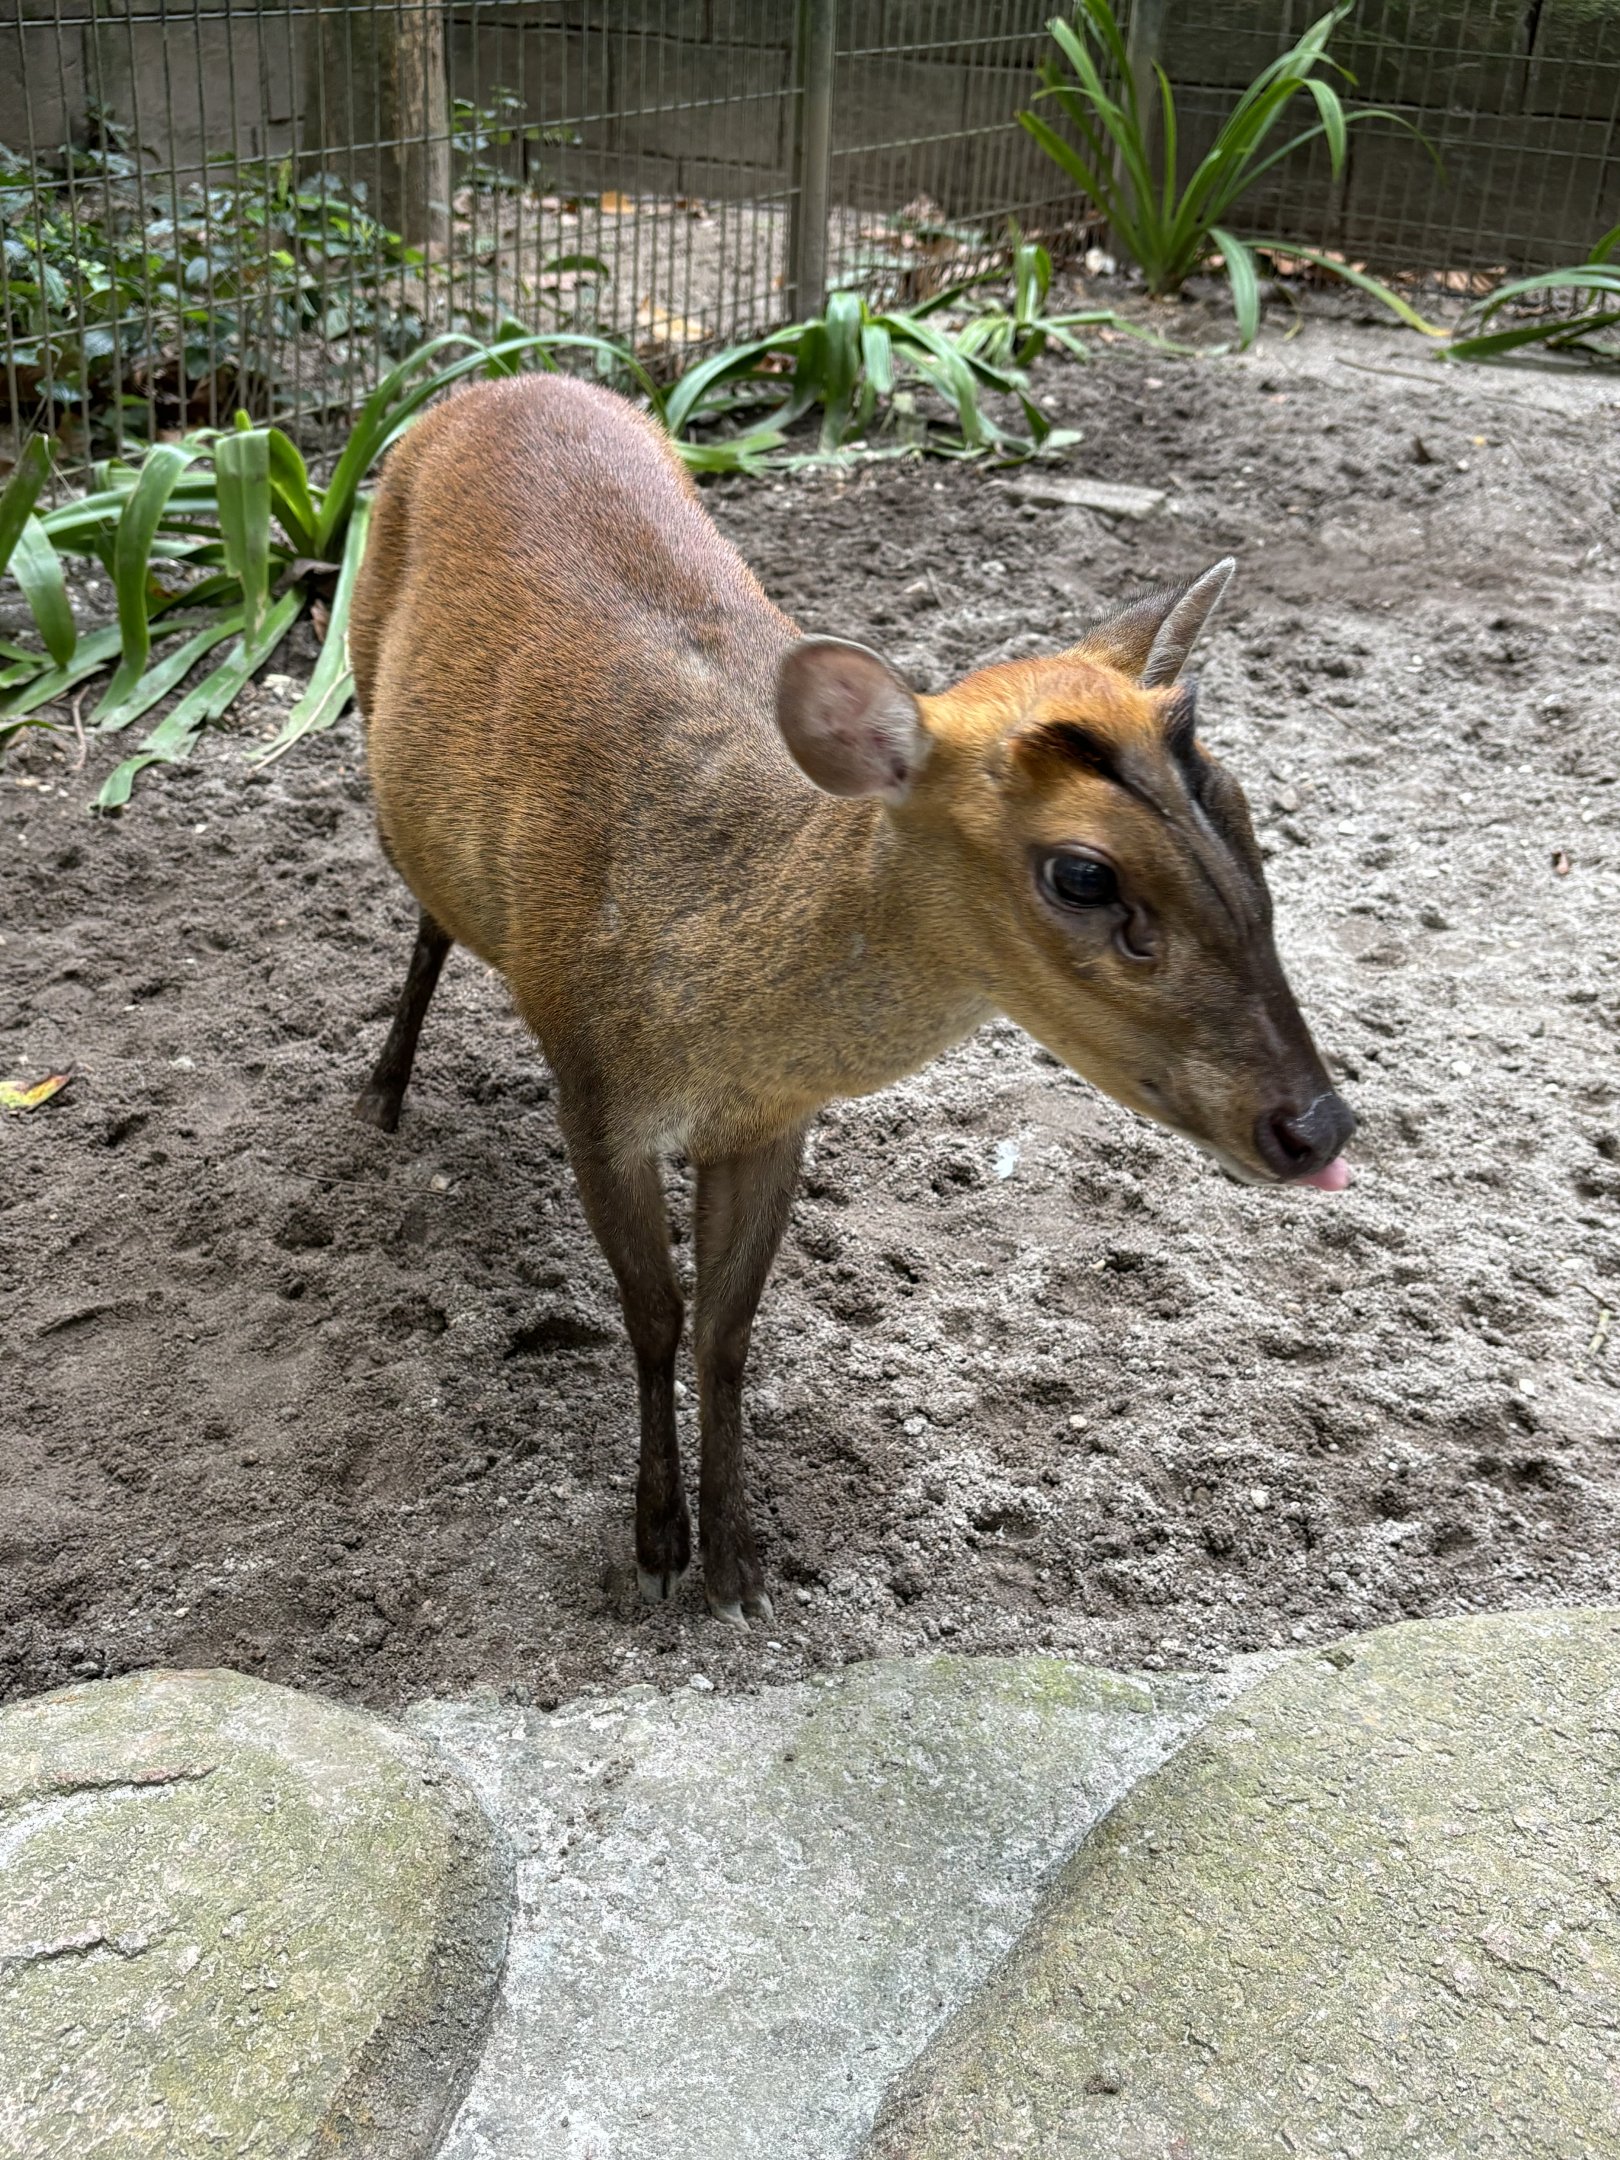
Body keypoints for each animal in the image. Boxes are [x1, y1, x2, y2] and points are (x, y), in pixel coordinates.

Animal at [347, 373, 1354, 1627]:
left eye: (1242, 809)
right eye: (1083, 873)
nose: (1316, 1125)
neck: (703, 1011)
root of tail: (506, 378)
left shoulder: (774, 1124)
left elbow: (727, 1329)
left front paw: (738, 1562)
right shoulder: (591, 1087)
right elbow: (652, 1313)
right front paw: (655, 1544)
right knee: (426, 909)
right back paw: (382, 1094)